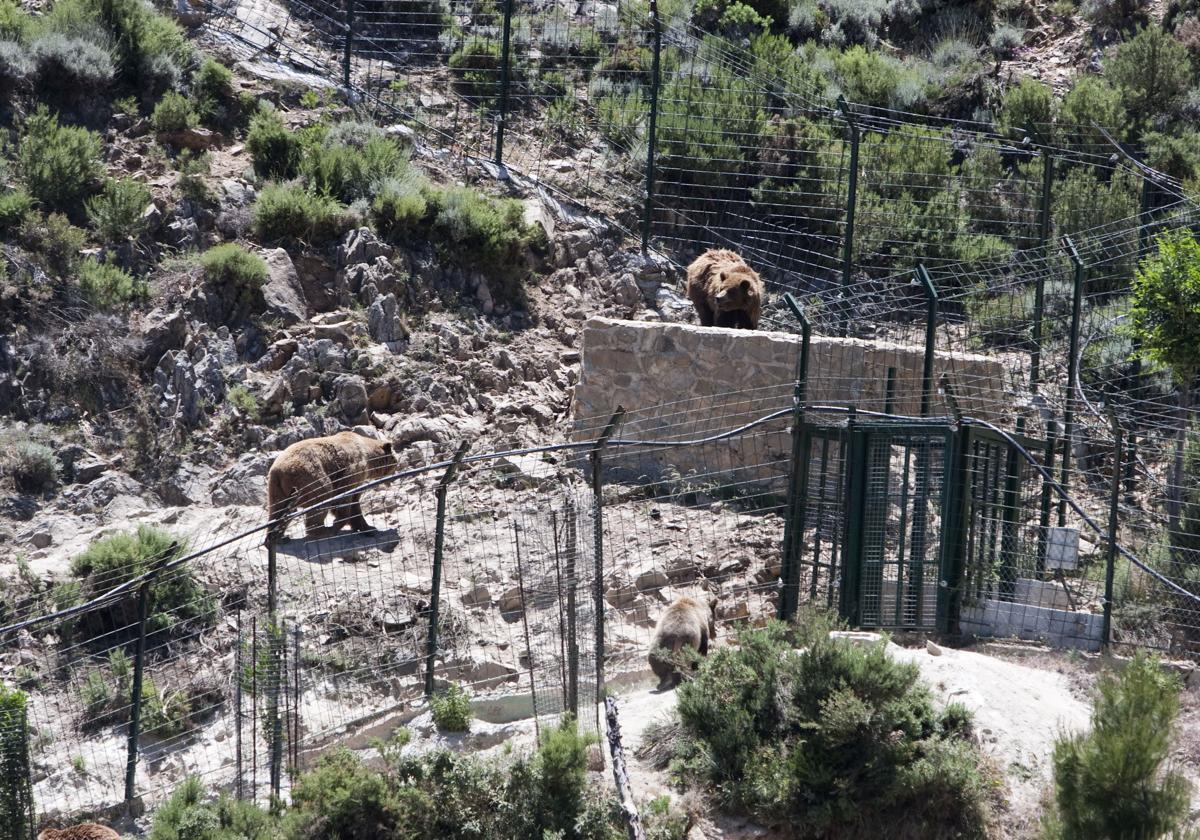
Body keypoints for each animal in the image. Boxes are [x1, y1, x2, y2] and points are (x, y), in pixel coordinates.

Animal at [264, 429, 398, 542]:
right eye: (396, 462)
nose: (395, 474)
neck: (369, 458)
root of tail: (277, 470)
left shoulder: (359, 479)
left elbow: (355, 502)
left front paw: (369, 528)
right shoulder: (354, 469)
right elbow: (344, 497)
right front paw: (340, 521)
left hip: (277, 488)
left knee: (278, 510)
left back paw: (277, 537)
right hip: (308, 475)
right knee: (322, 495)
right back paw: (323, 530)